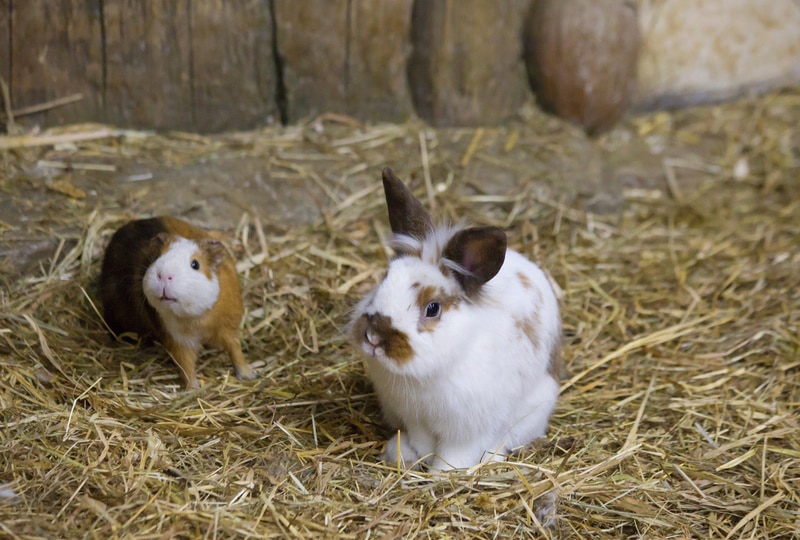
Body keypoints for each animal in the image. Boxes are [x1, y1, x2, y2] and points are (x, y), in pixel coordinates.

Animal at [350, 167, 562, 471]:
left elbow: (456, 454)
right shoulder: (415, 417)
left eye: (432, 308)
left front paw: (440, 474)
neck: (427, 374)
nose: (374, 337)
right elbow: (423, 442)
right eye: (384, 280)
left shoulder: (469, 429)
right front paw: (416, 457)